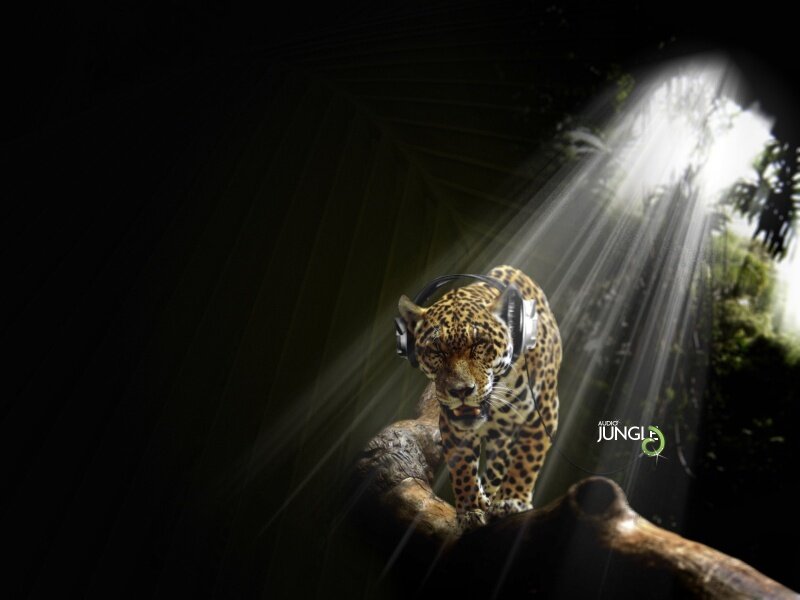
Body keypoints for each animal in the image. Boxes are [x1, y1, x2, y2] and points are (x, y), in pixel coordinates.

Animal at [398, 265, 561, 532]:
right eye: (436, 350)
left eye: (479, 344)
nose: (461, 390)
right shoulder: (452, 423)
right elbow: (462, 467)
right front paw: (470, 509)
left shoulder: (544, 411)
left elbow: (526, 456)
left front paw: (511, 500)